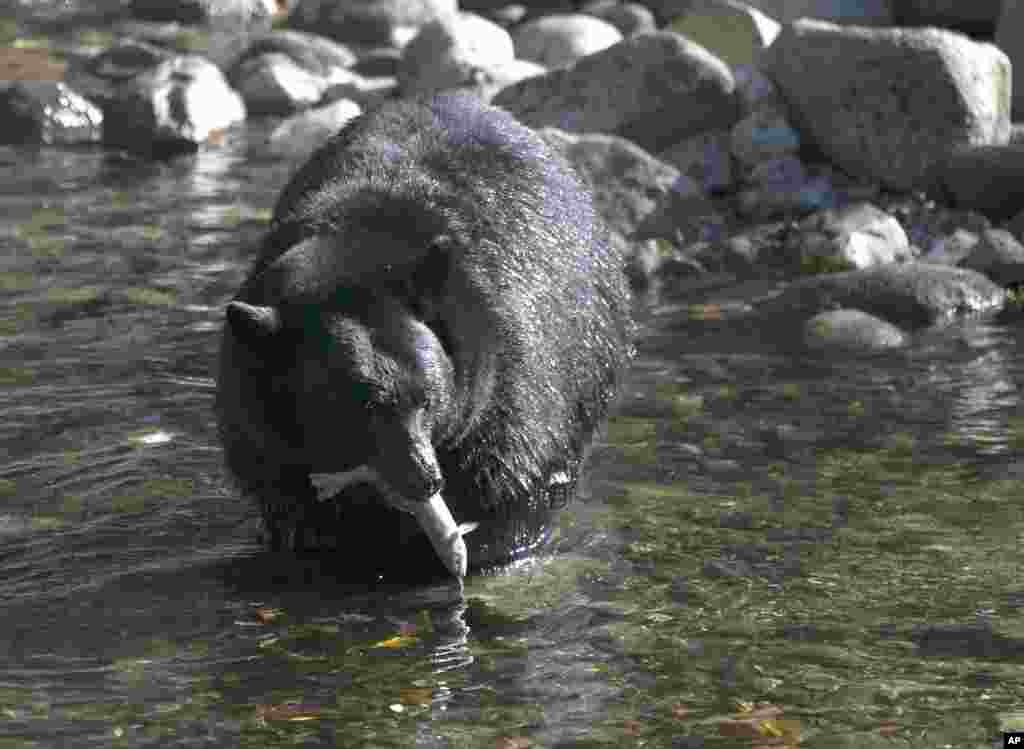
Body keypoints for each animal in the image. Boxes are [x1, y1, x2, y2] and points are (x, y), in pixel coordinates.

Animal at [216, 93, 630, 581]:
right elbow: (284, 492)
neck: (355, 249)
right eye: (362, 407)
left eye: (428, 399)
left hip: (591, 356)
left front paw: (485, 546)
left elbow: (512, 475)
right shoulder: (257, 420)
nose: (426, 478)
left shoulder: (513, 375)